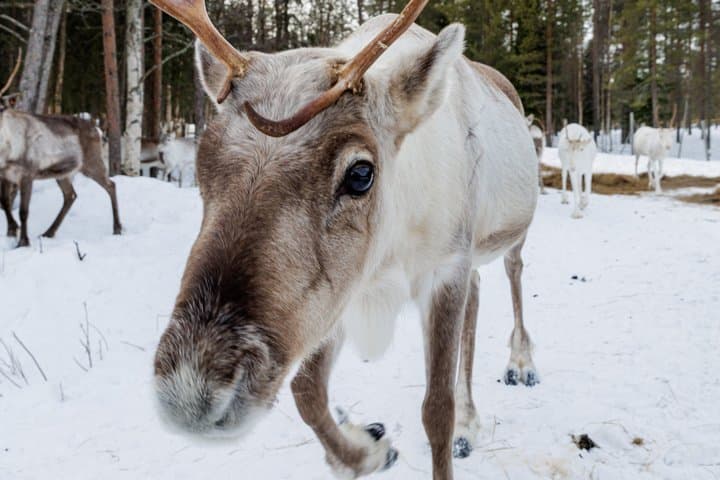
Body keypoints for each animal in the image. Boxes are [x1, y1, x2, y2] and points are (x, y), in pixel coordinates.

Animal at [0, 52, 122, 247]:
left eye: (1, 107)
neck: (7, 151)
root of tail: (97, 129)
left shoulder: (28, 173)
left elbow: (24, 211)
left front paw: (23, 241)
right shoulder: (4, 174)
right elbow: (4, 202)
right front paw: (12, 230)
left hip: (92, 163)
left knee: (111, 185)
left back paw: (117, 228)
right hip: (63, 173)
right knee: (70, 195)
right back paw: (48, 232)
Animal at [150, 1, 539, 479]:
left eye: (360, 173)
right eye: (203, 165)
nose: (191, 396)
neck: (389, 252)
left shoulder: (445, 268)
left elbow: (436, 410)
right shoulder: (339, 290)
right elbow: (306, 390)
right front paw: (367, 449)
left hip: (509, 234)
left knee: (514, 271)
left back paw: (520, 363)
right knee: (479, 292)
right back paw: (469, 422)